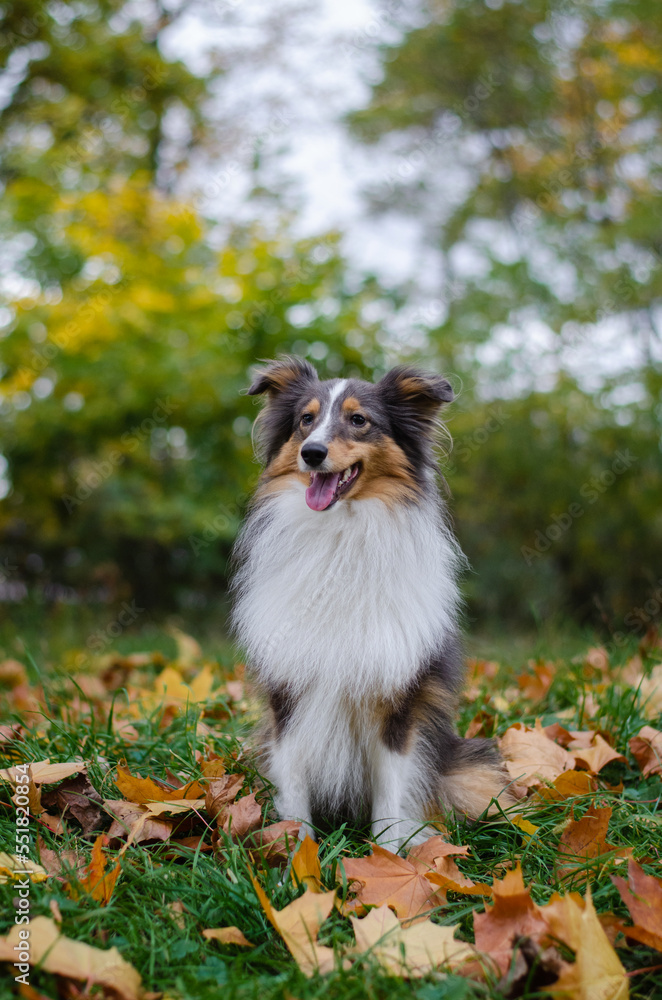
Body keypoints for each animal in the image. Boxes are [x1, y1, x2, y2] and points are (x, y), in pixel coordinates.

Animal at [231, 356, 516, 848]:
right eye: (305, 420)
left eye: (359, 420)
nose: (312, 453)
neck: (340, 535)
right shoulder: (289, 691)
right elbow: (295, 785)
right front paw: (297, 850)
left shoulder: (396, 699)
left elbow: (389, 796)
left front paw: (387, 857)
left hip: (471, 772)